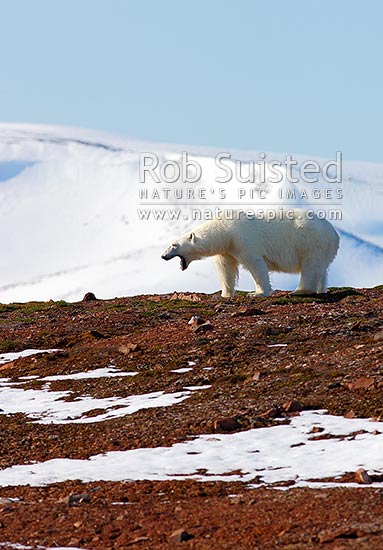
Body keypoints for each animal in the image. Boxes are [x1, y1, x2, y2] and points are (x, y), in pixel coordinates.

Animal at [160, 210, 340, 298]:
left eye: (174, 245)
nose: (162, 256)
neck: (224, 231)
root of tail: (334, 233)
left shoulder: (242, 240)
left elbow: (255, 264)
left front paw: (258, 293)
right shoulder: (227, 249)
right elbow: (226, 269)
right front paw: (225, 294)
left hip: (310, 241)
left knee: (310, 266)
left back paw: (300, 290)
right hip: (323, 248)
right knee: (321, 268)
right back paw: (321, 290)